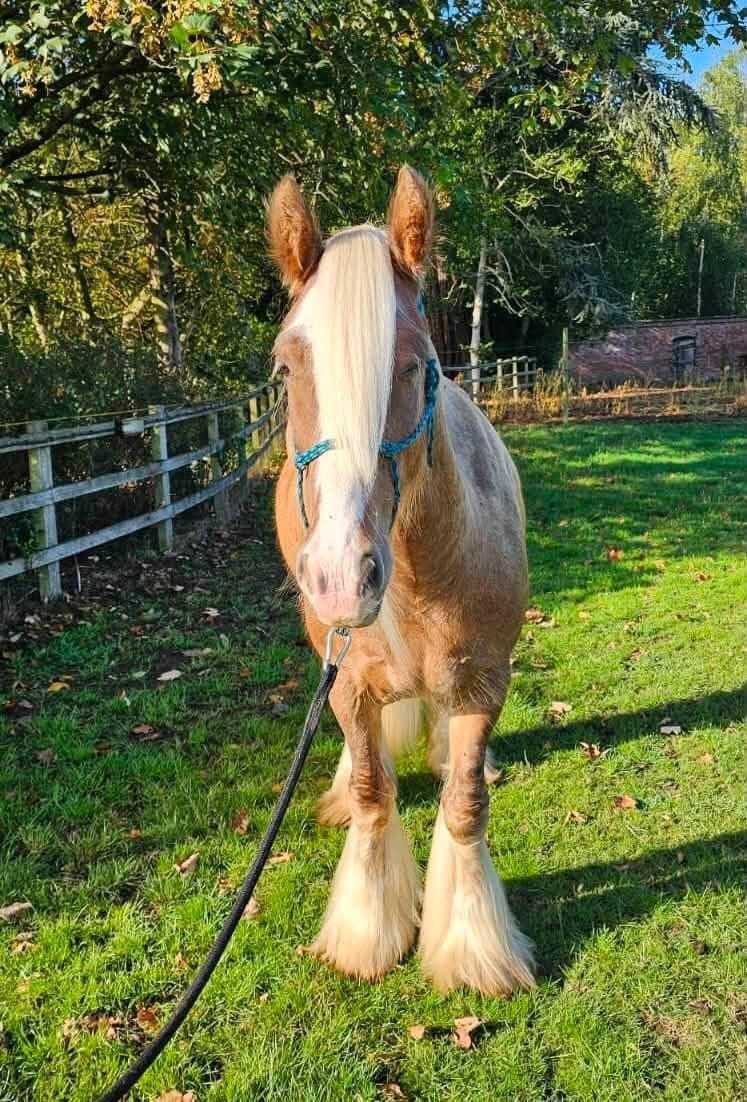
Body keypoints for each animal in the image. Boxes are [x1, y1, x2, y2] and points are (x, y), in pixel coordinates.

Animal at [268, 166, 535, 995]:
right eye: (285, 367)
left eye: (415, 364)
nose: (340, 575)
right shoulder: (350, 686)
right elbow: (370, 794)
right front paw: (368, 932)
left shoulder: (482, 682)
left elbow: (464, 807)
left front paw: (472, 948)